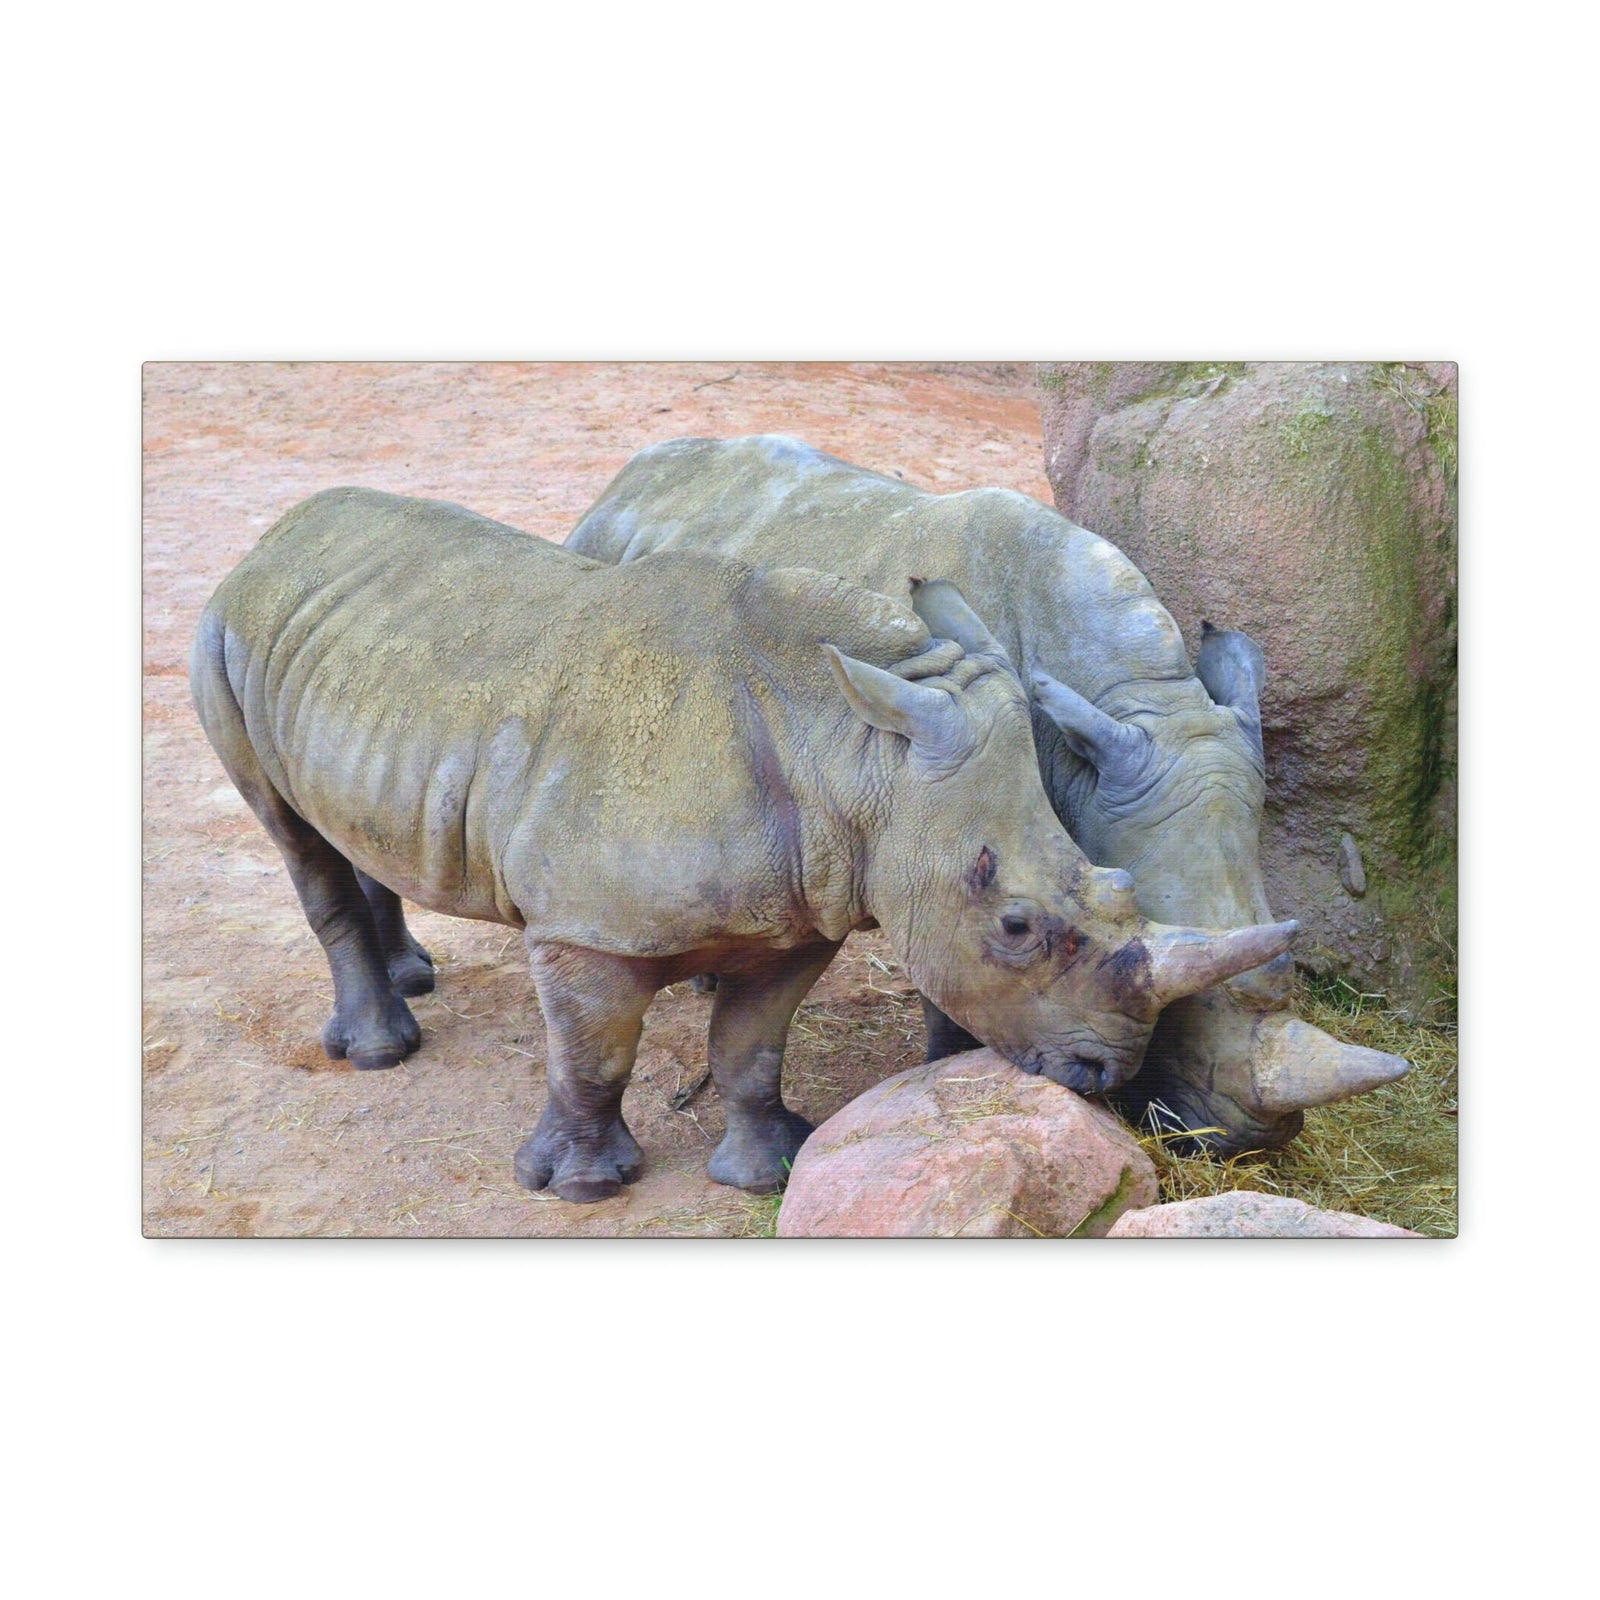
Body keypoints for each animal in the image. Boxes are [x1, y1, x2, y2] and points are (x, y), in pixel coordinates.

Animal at [191, 486, 1299, 1201]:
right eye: (1017, 925)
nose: (1104, 1073)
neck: (857, 751)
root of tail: (275, 537)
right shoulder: (583, 925)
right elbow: (593, 1051)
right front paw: (581, 1188)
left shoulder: (803, 907)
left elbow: (752, 1046)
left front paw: (767, 1169)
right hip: (222, 630)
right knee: (289, 833)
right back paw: (382, 1049)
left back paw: (413, 979)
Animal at [565, 434, 1411, 1154]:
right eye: (1186, 1006)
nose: (1242, 1144)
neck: (1139, 704)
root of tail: (627, 477)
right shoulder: (955, 820)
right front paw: (954, 1066)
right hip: (606, 579)